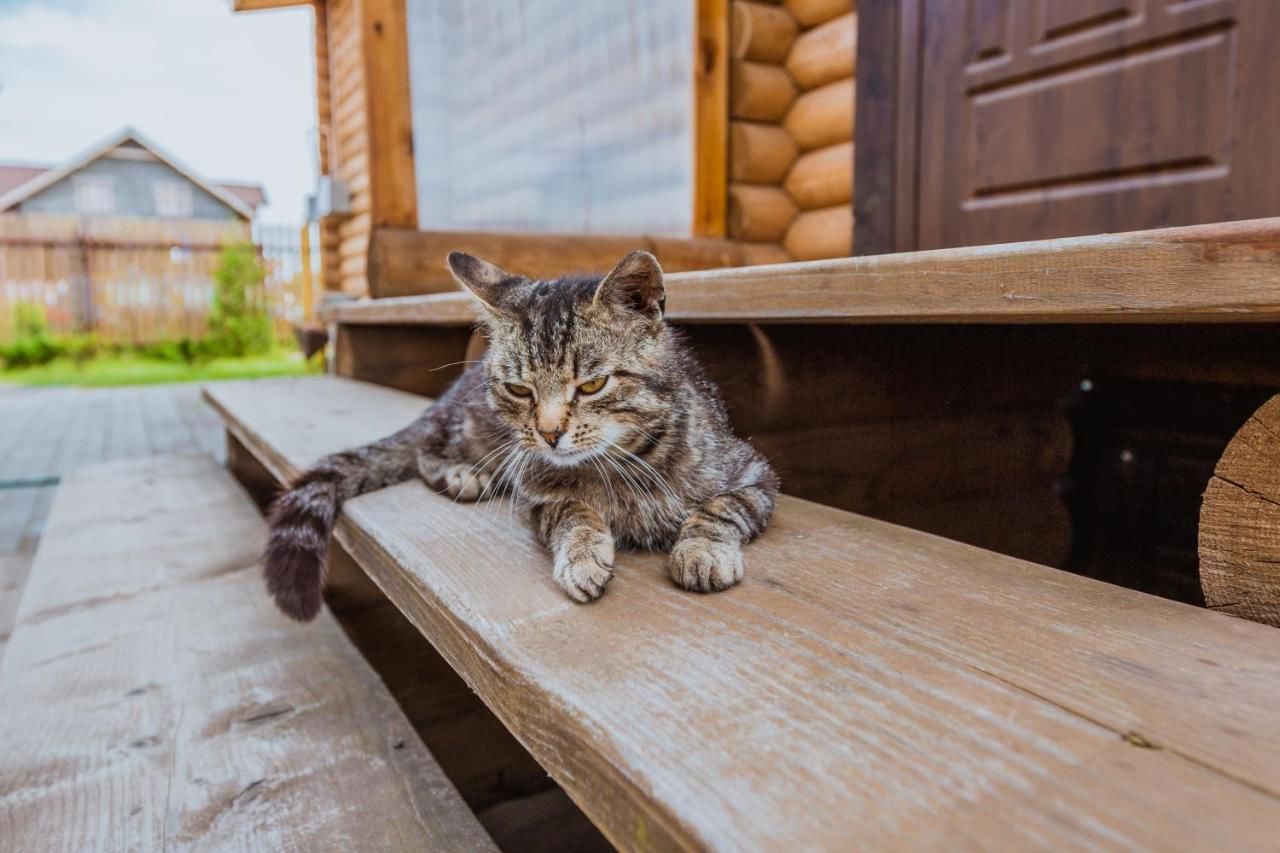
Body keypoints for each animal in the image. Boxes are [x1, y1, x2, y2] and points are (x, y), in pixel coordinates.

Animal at [264, 247, 773, 617]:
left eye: (592, 385)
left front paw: (702, 550)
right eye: (518, 389)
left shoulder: (755, 475)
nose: (548, 433)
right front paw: (583, 554)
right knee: (426, 449)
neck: (619, 465)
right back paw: (462, 474)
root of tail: (451, 392)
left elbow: (720, 508)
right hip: (473, 431)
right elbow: (570, 510)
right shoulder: (535, 493)